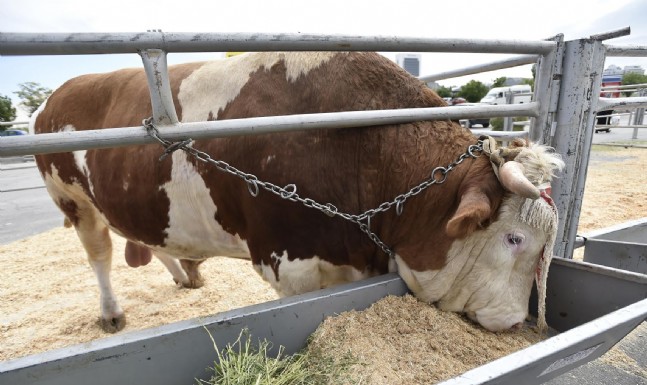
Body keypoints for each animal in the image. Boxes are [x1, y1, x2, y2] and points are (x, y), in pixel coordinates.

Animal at [33, 51, 564, 332]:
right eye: (514, 238)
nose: (516, 320)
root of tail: (55, 96)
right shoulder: (290, 263)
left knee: (151, 239)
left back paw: (187, 276)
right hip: (72, 201)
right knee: (99, 255)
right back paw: (111, 314)